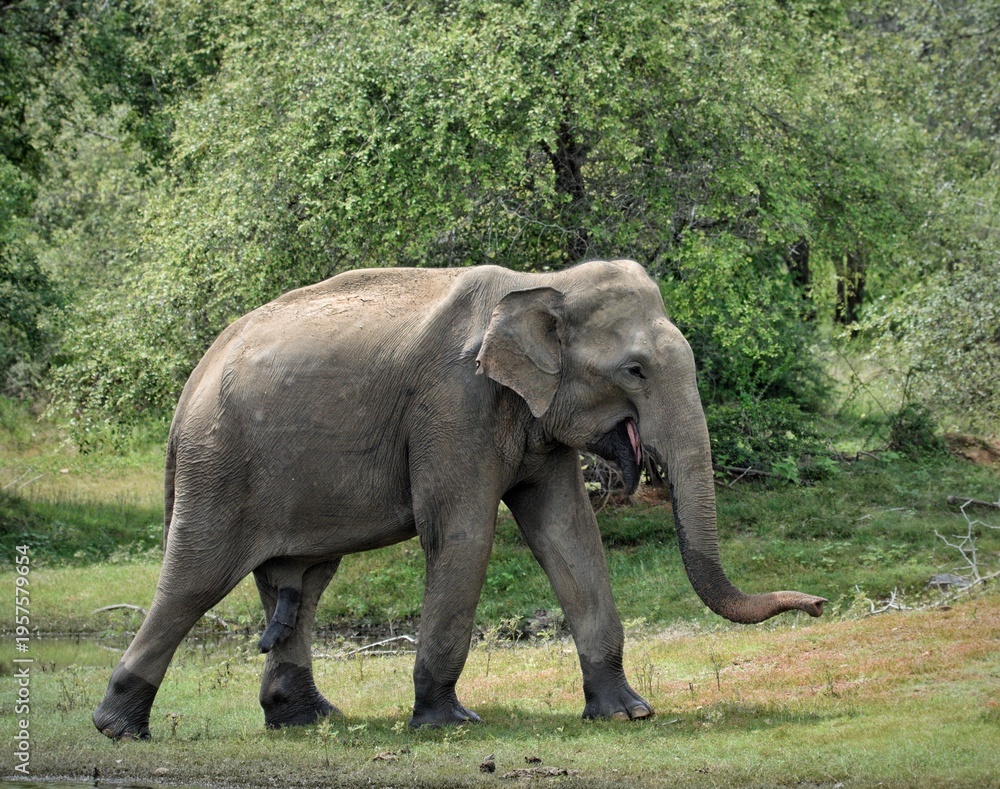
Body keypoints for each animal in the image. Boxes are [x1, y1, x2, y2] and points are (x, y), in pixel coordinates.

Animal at [93, 259, 826, 739]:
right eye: (635, 371)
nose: (817, 604)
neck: (544, 281)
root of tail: (192, 380)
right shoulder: (454, 405)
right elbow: (465, 535)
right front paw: (449, 722)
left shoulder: (531, 420)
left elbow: (569, 535)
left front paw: (628, 713)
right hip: (218, 463)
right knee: (195, 578)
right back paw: (118, 728)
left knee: (304, 581)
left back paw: (310, 719)